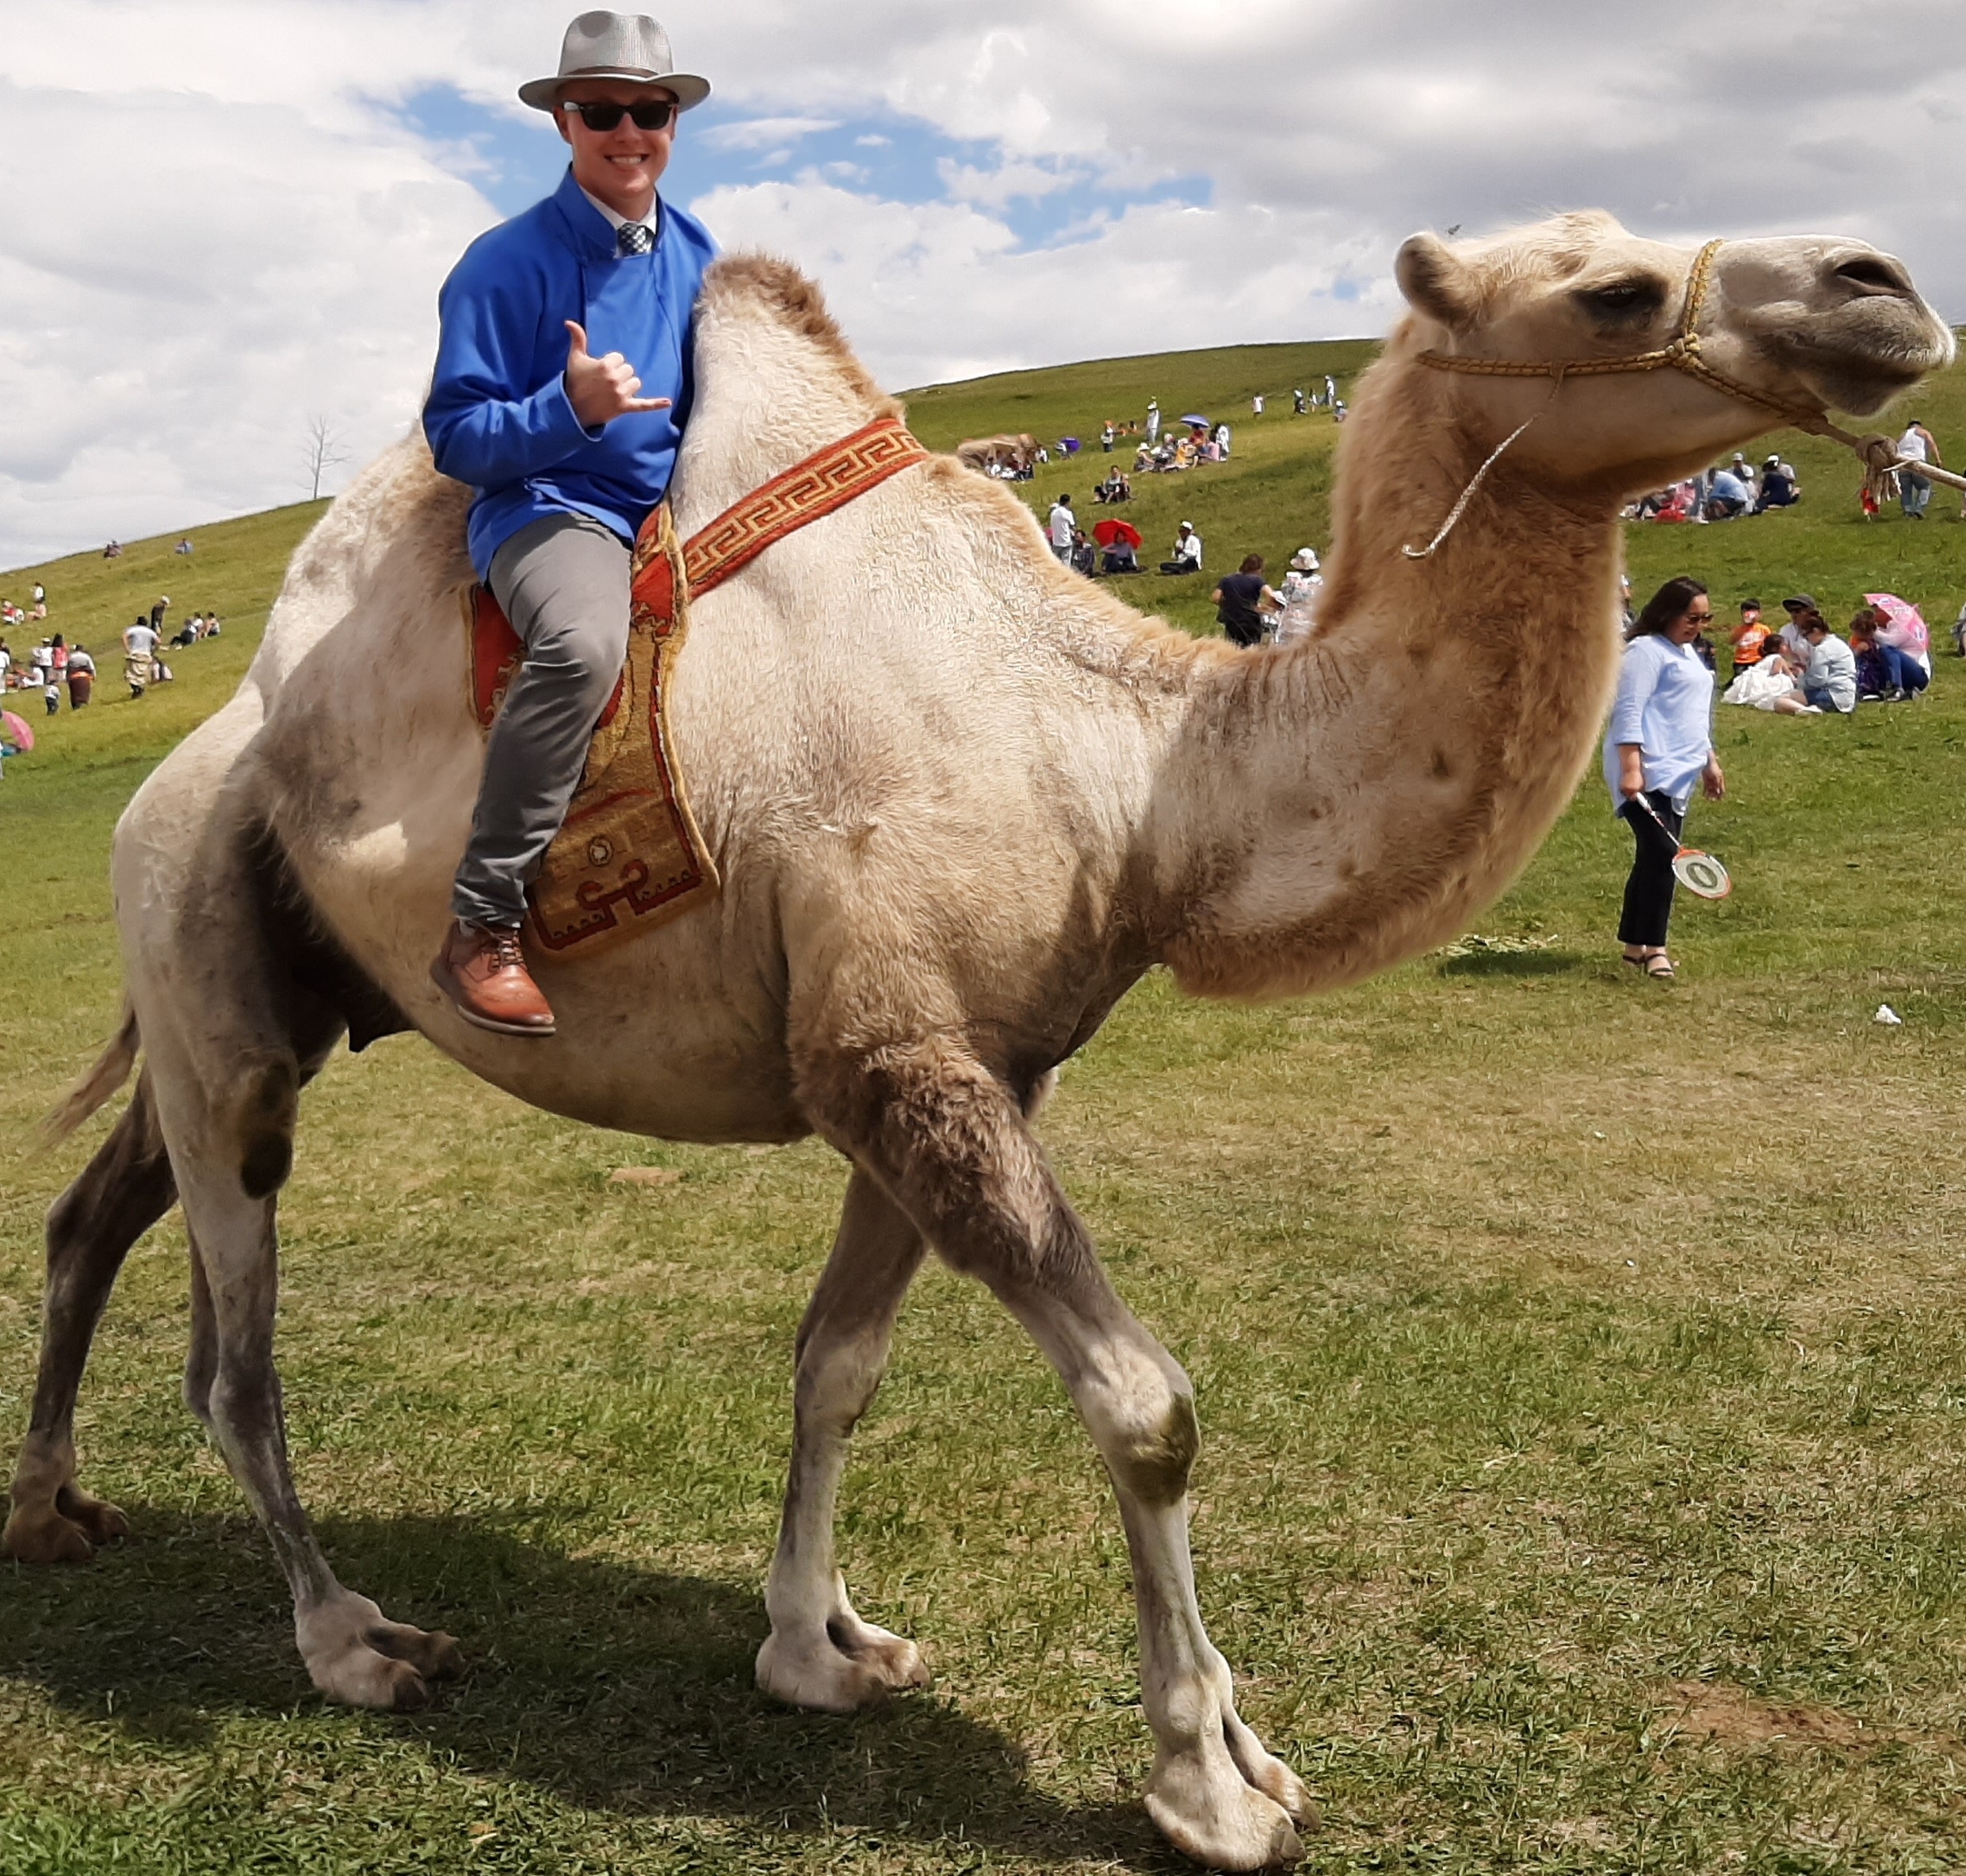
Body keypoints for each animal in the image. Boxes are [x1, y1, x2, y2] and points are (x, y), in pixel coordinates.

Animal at [7, 212, 1950, 1864]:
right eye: (1612, 289)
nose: (1882, 287)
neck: (1137, 775)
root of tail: (186, 764)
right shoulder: (901, 1055)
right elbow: (1148, 1406)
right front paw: (1212, 1782)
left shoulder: (956, 1062)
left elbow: (837, 1364)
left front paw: (824, 1646)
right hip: (209, 974)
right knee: (231, 1350)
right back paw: (354, 1640)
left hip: (248, 994)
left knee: (98, 1211)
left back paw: (49, 1511)